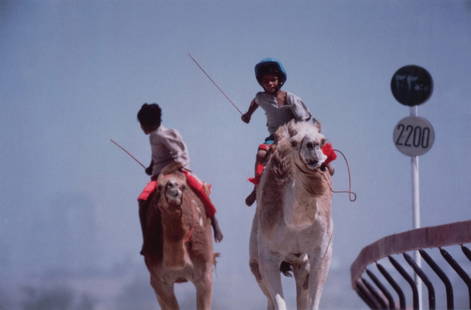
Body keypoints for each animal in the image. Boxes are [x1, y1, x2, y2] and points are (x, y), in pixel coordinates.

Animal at [249, 119, 334, 310]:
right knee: (269, 299)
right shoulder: (268, 257)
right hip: (256, 265)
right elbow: (279, 303)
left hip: (301, 265)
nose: (313, 145)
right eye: (295, 143)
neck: (296, 223)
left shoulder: (322, 253)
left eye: (322, 140)